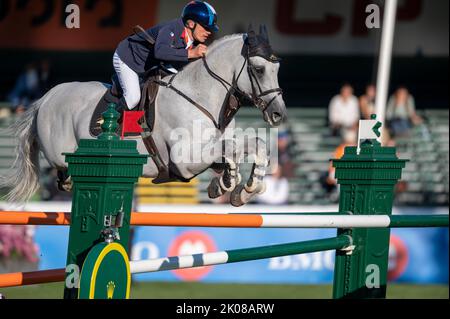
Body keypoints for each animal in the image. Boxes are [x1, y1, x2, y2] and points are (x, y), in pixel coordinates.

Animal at [0, 26, 288, 208]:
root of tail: (45, 98)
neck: (201, 97)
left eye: (277, 69)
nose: (279, 114)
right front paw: (232, 180)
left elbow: (253, 145)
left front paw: (242, 187)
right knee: (64, 176)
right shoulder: (184, 160)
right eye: (259, 69)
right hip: (58, 152)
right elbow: (231, 148)